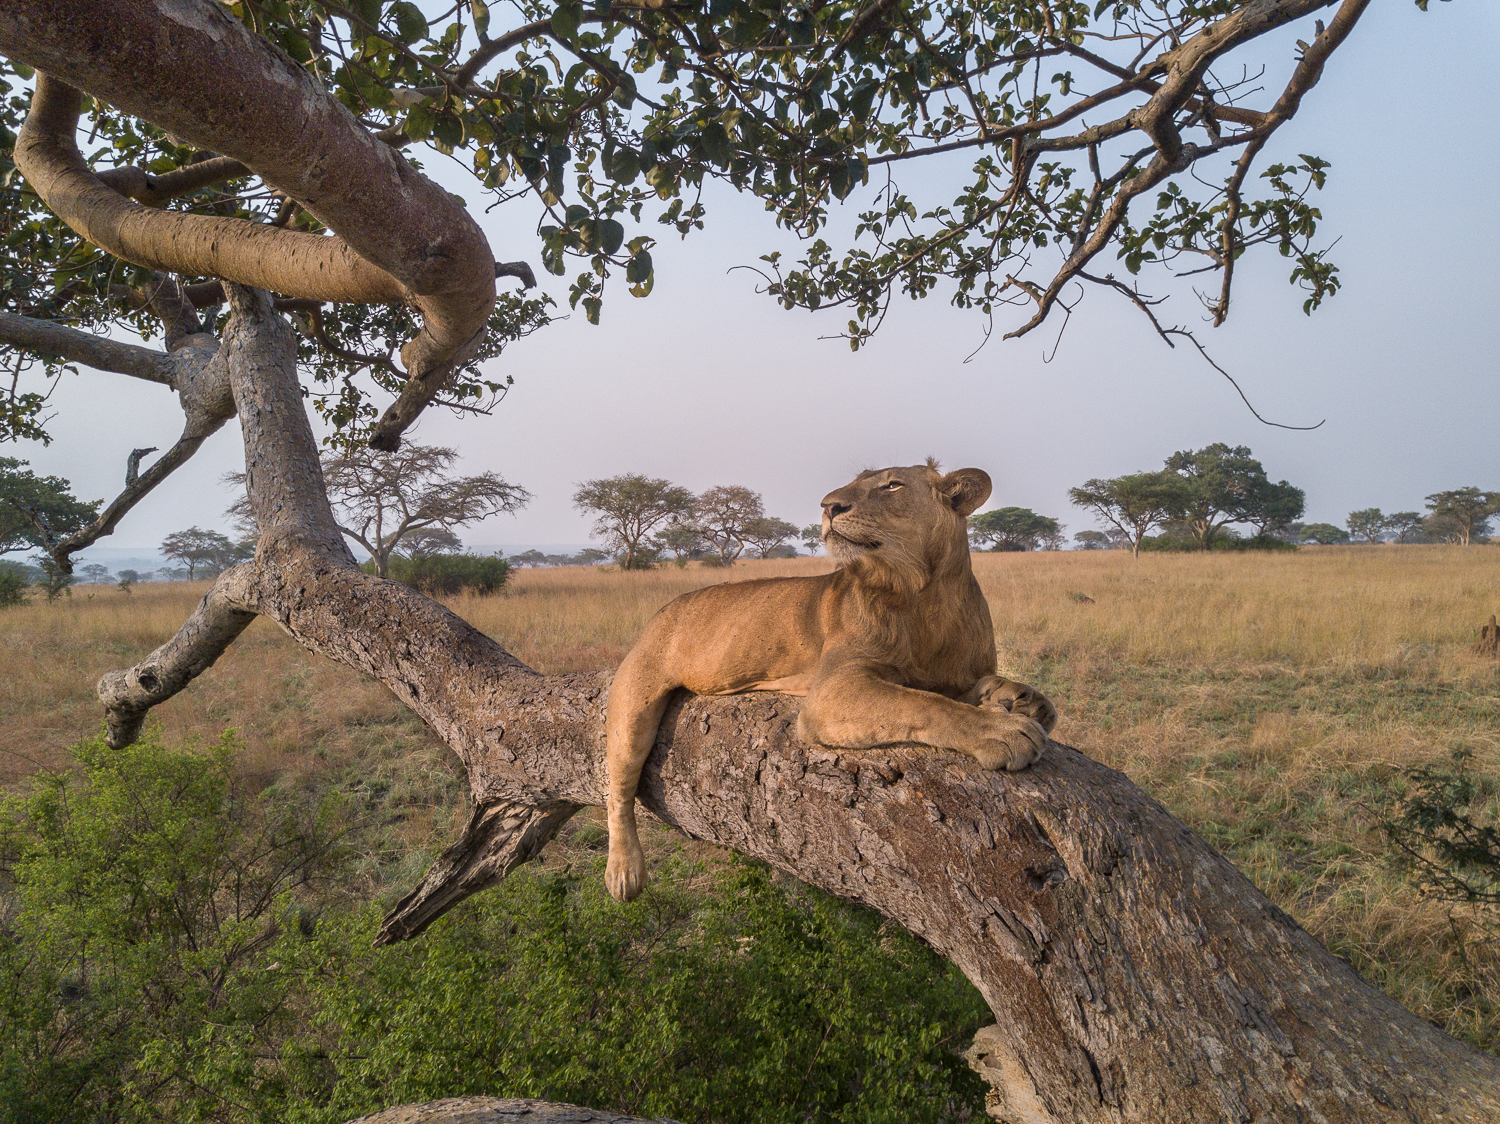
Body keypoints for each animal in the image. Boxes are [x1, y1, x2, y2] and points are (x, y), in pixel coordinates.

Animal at [604, 460, 1059, 902]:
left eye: (892, 485)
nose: (828, 506)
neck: (923, 593)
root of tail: (662, 611)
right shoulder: (831, 690)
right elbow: (924, 703)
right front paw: (1002, 729)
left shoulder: (954, 673)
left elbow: (976, 686)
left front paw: (1024, 700)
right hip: (633, 706)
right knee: (618, 790)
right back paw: (624, 873)